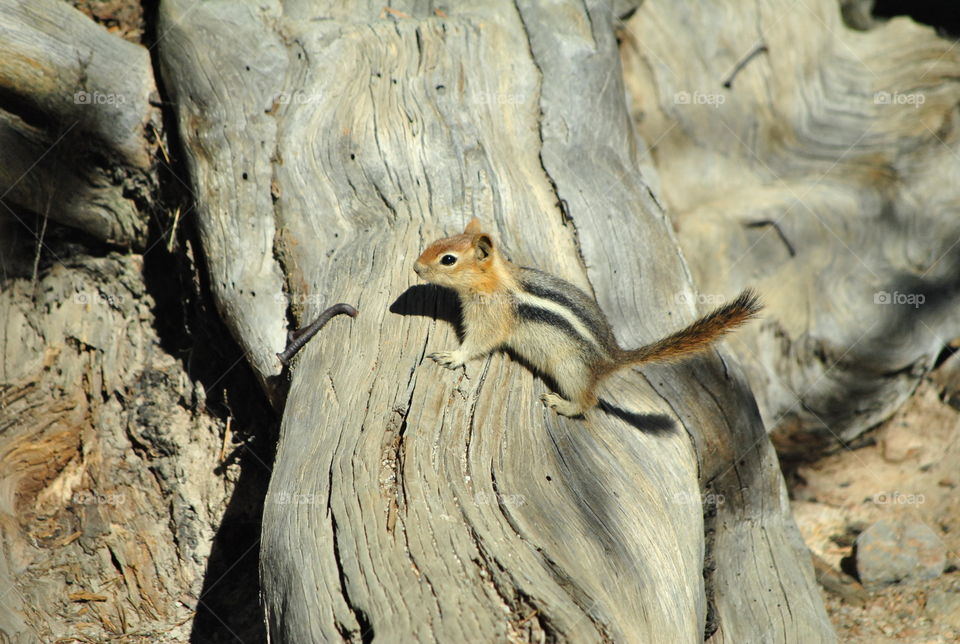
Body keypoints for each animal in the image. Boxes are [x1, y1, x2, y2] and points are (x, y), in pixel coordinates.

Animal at [416, 219, 760, 416]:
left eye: (448, 260)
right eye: (435, 243)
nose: (416, 268)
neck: (495, 280)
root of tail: (613, 358)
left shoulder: (492, 317)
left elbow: (479, 342)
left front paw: (453, 356)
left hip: (570, 369)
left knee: (589, 402)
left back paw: (563, 405)